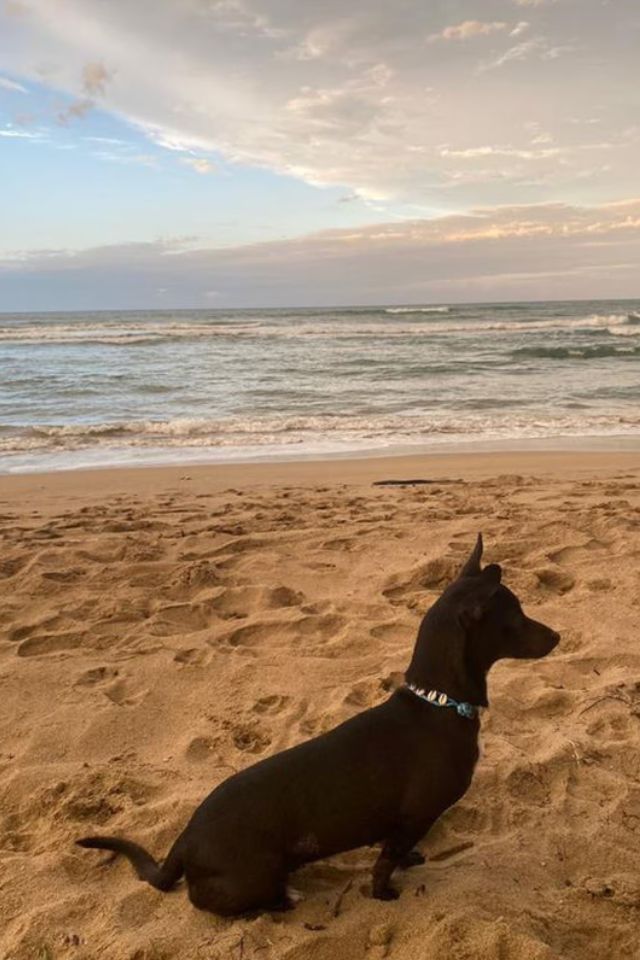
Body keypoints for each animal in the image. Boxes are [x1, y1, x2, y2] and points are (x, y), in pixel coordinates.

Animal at [76, 532, 560, 916]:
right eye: (517, 617)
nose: (558, 636)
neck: (437, 702)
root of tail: (185, 841)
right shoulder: (414, 817)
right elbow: (384, 864)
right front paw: (384, 893)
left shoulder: (402, 825)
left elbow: (396, 850)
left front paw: (408, 863)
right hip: (254, 876)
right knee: (217, 901)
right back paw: (282, 900)